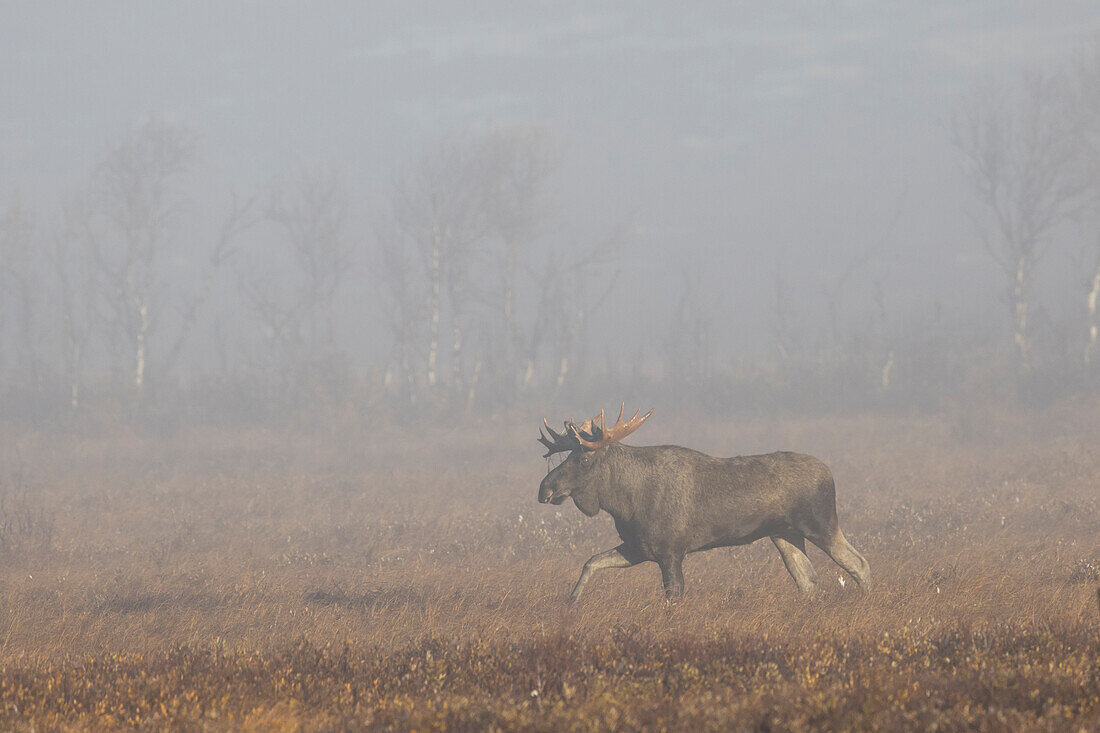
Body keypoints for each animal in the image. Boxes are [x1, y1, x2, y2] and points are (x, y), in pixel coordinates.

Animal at [536, 405, 871, 598]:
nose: (544, 489)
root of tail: (829, 473)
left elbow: (673, 597)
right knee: (808, 580)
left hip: (821, 523)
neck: (624, 504)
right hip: (784, 534)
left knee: (860, 563)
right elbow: (591, 562)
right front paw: (572, 600)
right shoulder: (639, 548)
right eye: (568, 454)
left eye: (585, 458)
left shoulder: (671, 551)